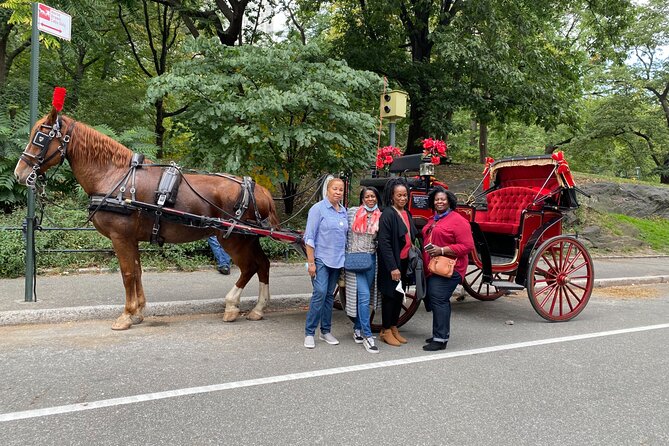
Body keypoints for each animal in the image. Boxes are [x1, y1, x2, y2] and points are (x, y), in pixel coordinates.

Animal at [13, 109, 280, 332]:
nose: (19, 174)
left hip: (233, 238)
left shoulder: (120, 237)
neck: (116, 177)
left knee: (250, 267)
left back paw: (232, 304)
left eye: (39, 137)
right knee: (263, 264)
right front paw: (138, 311)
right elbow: (137, 272)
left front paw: (127, 315)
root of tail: (260, 189)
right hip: (248, 239)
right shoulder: (131, 239)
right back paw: (258, 308)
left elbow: (127, 274)